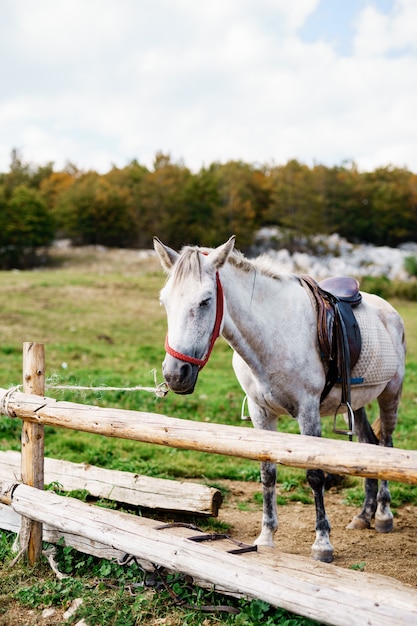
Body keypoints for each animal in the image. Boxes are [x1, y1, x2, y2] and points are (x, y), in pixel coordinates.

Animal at [153, 234, 404, 560]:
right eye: (165, 301)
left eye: (206, 301)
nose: (175, 374)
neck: (272, 334)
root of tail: (388, 310)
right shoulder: (261, 413)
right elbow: (267, 472)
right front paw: (266, 537)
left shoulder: (308, 412)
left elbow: (315, 475)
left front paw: (322, 543)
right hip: (358, 405)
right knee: (369, 447)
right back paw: (364, 515)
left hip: (390, 394)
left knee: (386, 445)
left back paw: (384, 515)